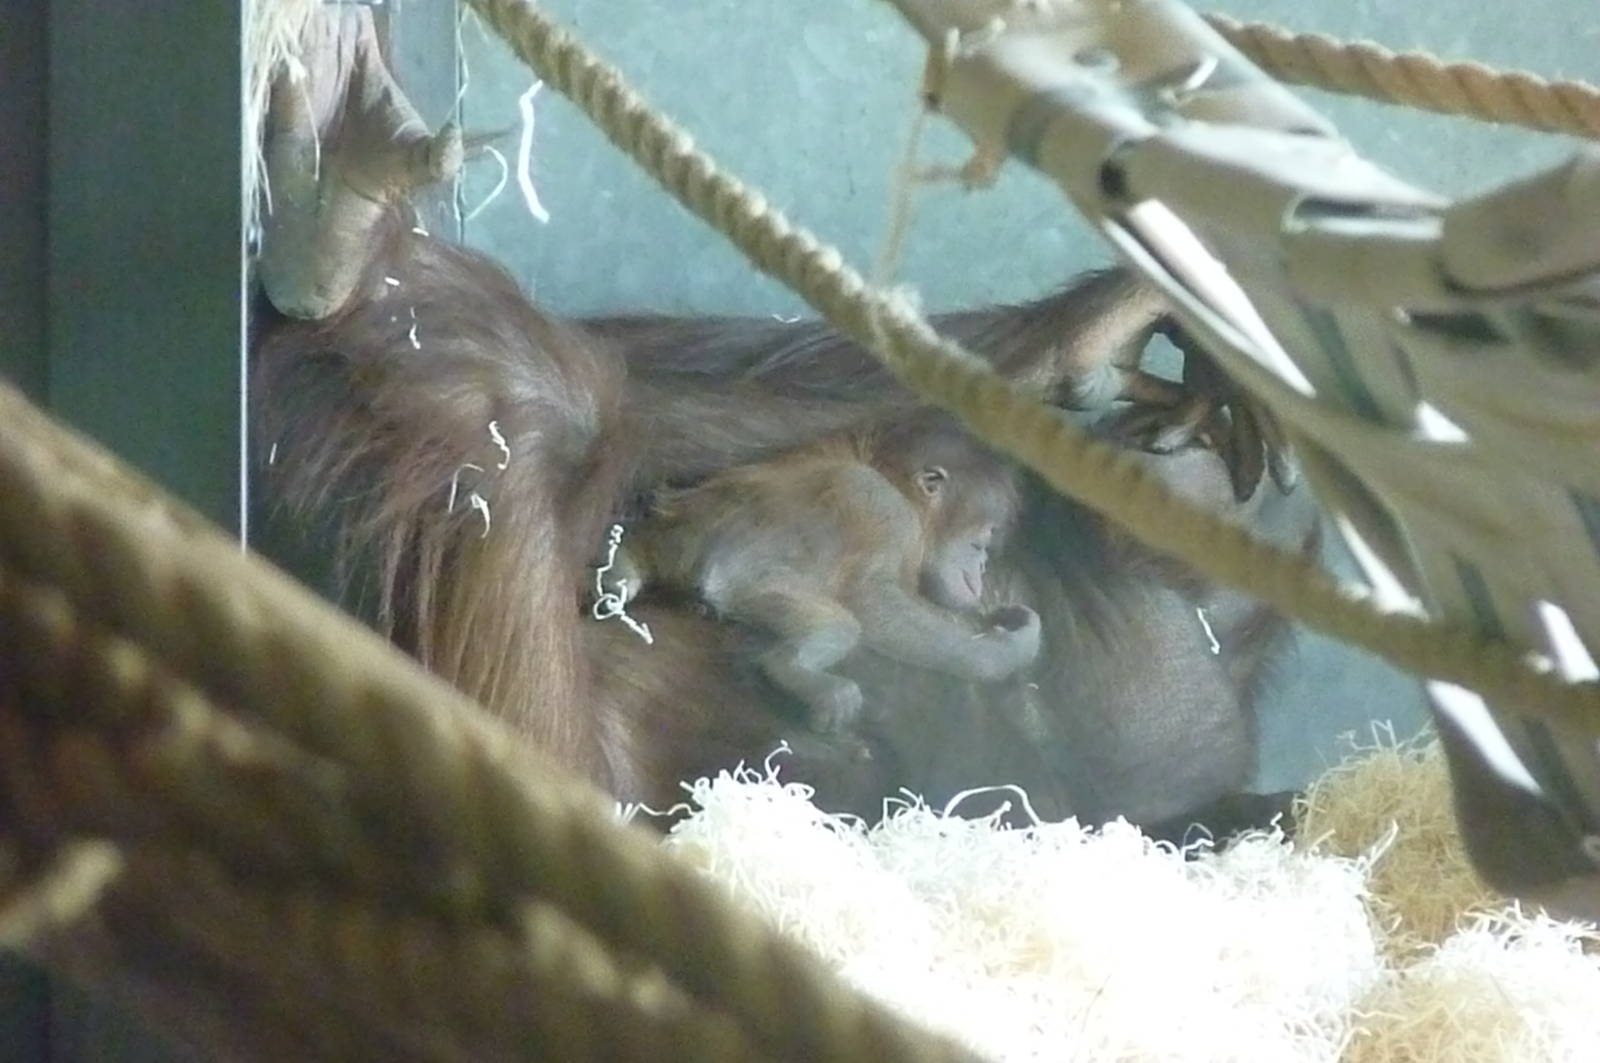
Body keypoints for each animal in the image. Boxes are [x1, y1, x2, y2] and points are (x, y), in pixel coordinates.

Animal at [599, 416, 1040, 730]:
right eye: (980, 545)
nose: (981, 568)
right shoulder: (887, 512)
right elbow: (875, 600)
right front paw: (1009, 649)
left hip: (663, 538)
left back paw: (617, 575)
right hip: (749, 580)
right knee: (838, 625)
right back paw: (793, 668)